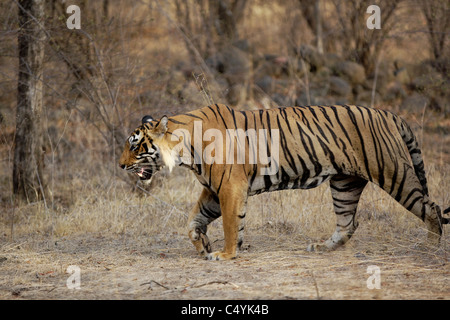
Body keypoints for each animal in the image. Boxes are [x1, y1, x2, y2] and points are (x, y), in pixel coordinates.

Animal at [118, 104, 448, 260]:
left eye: (135, 146)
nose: (120, 165)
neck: (186, 151)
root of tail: (391, 114)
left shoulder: (229, 186)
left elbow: (229, 223)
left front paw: (225, 253)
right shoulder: (213, 189)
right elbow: (193, 222)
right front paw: (204, 246)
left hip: (394, 173)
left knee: (430, 208)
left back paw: (429, 247)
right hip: (345, 183)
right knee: (347, 223)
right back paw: (321, 247)